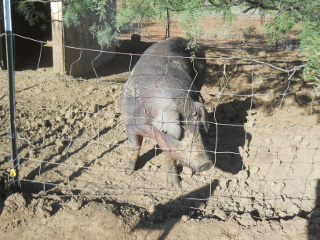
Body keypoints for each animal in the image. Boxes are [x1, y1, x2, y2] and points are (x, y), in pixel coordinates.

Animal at [119, 36, 211, 188]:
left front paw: (174, 187)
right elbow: (134, 147)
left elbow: (170, 158)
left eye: (197, 127)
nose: (206, 163)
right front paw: (127, 173)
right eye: (181, 132)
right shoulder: (129, 123)